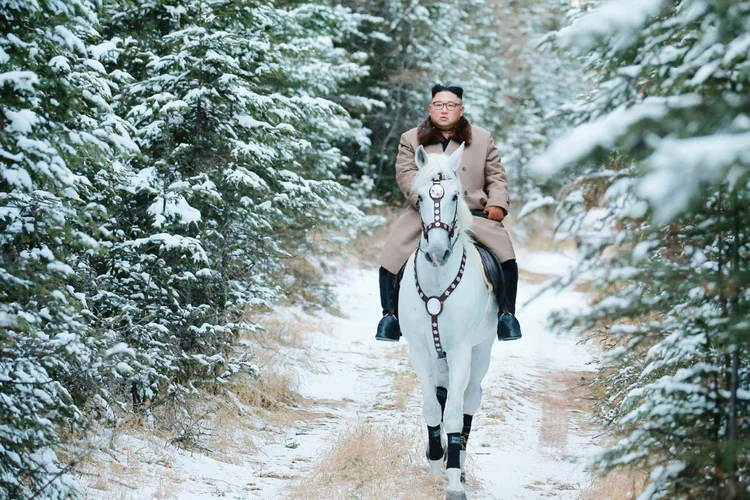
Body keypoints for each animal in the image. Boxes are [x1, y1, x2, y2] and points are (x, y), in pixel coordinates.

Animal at [400, 143, 500, 498]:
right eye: (420, 198)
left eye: (456, 196)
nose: (438, 252)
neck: (437, 282)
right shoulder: (419, 351)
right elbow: (433, 408)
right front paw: (434, 462)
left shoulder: (460, 352)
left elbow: (455, 415)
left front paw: (454, 479)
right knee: (442, 395)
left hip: (482, 351)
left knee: (470, 399)